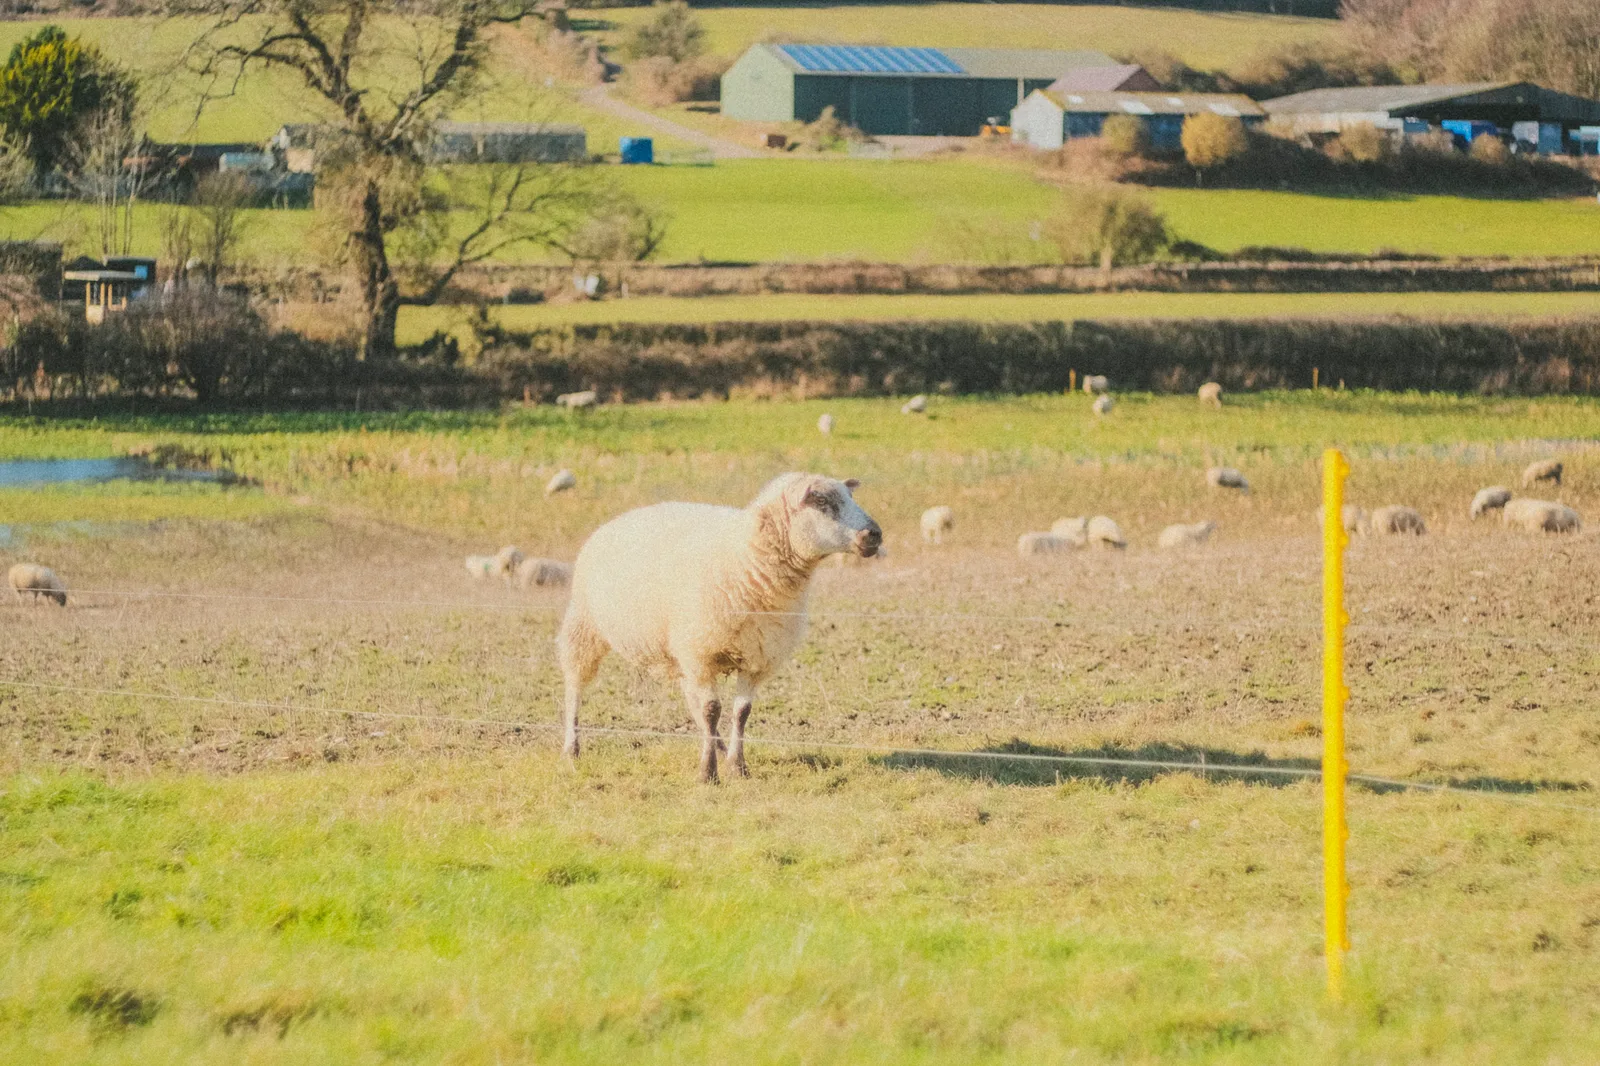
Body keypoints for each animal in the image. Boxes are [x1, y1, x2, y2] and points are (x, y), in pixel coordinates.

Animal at [557, 472, 881, 782]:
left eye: (850, 497)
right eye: (822, 501)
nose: (875, 534)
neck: (748, 559)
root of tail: (617, 519)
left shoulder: (755, 656)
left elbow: (741, 712)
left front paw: (737, 766)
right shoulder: (702, 653)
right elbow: (712, 710)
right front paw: (708, 772)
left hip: (679, 650)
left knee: (692, 701)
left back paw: (720, 746)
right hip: (584, 623)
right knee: (574, 685)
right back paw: (571, 748)